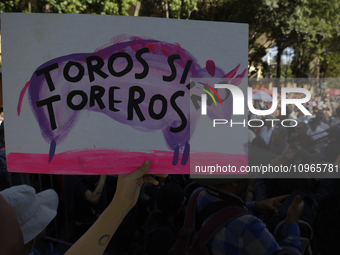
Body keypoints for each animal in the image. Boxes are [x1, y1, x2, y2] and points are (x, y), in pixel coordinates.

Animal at [17, 34, 246, 163]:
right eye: (218, 93)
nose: (228, 117)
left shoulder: (177, 123)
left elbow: (181, 147)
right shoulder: (180, 121)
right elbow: (180, 146)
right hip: (58, 117)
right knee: (53, 141)